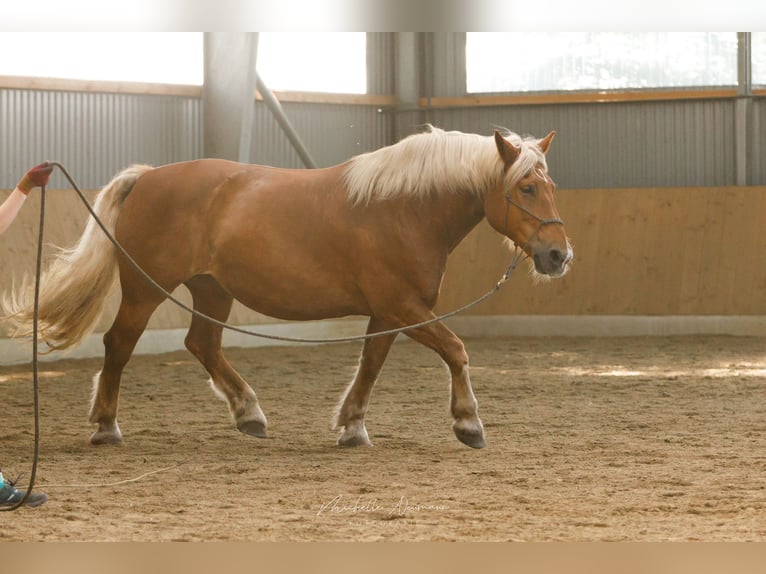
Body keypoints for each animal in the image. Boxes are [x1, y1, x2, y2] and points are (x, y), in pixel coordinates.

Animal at [4, 126, 568, 450]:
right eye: (525, 188)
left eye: (551, 187)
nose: (558, 255)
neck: (405, 208)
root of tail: (149, 177)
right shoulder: (404, 307)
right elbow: (456, 350)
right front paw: (468, 423)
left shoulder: (390, 312)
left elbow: (371, 365)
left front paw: (352, 426)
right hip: (147, 290)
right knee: (119, 345)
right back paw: (106, 426)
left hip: (212, 290)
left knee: (202, 345)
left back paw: (248, 413)